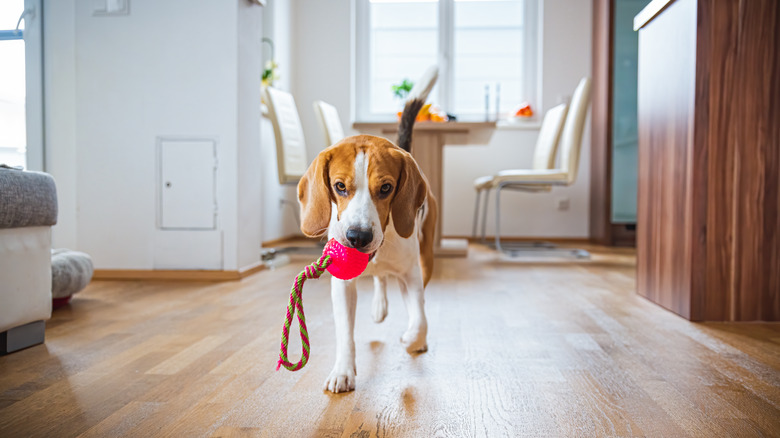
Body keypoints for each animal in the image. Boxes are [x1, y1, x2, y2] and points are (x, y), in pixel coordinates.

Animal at [298, 99, 436, 394]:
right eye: (339, 186)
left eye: (386, 188)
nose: (358, 237)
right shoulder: (342, 285)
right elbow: (344, 333)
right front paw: (343, 371)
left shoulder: (411, 275)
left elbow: (420, 318)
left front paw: (412, 339)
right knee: (379, 279)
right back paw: (378, 306)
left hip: (426, 259)